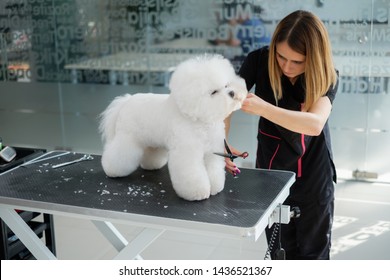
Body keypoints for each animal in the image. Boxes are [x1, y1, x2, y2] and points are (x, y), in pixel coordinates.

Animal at [100, 53, 247, 200]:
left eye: (227, 85)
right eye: (214, 92)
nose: (232, 93)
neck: (201, 121)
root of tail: (126, 101)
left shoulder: (213, 152)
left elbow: (214, 171)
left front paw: (215, 187)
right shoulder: (187, 152)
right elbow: (193, 174)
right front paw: (197, 192)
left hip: (151, 141)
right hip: (127, 139)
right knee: (118, 154)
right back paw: (112, 170)